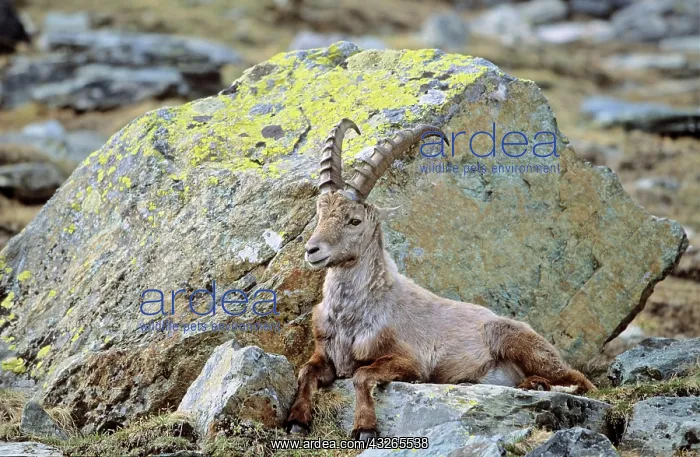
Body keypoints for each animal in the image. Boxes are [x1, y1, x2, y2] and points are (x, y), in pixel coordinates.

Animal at [286, 119, 596, 440]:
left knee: (581, 381)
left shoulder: (410, 360)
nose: (312, 250)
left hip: (517, 341)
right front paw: (297, 420)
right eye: (320, 214)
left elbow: (361, 375)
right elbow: (305, 372)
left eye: (354, 221)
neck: (353, 314)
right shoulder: (325, 354)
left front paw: (365, 427)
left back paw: (538, 384)